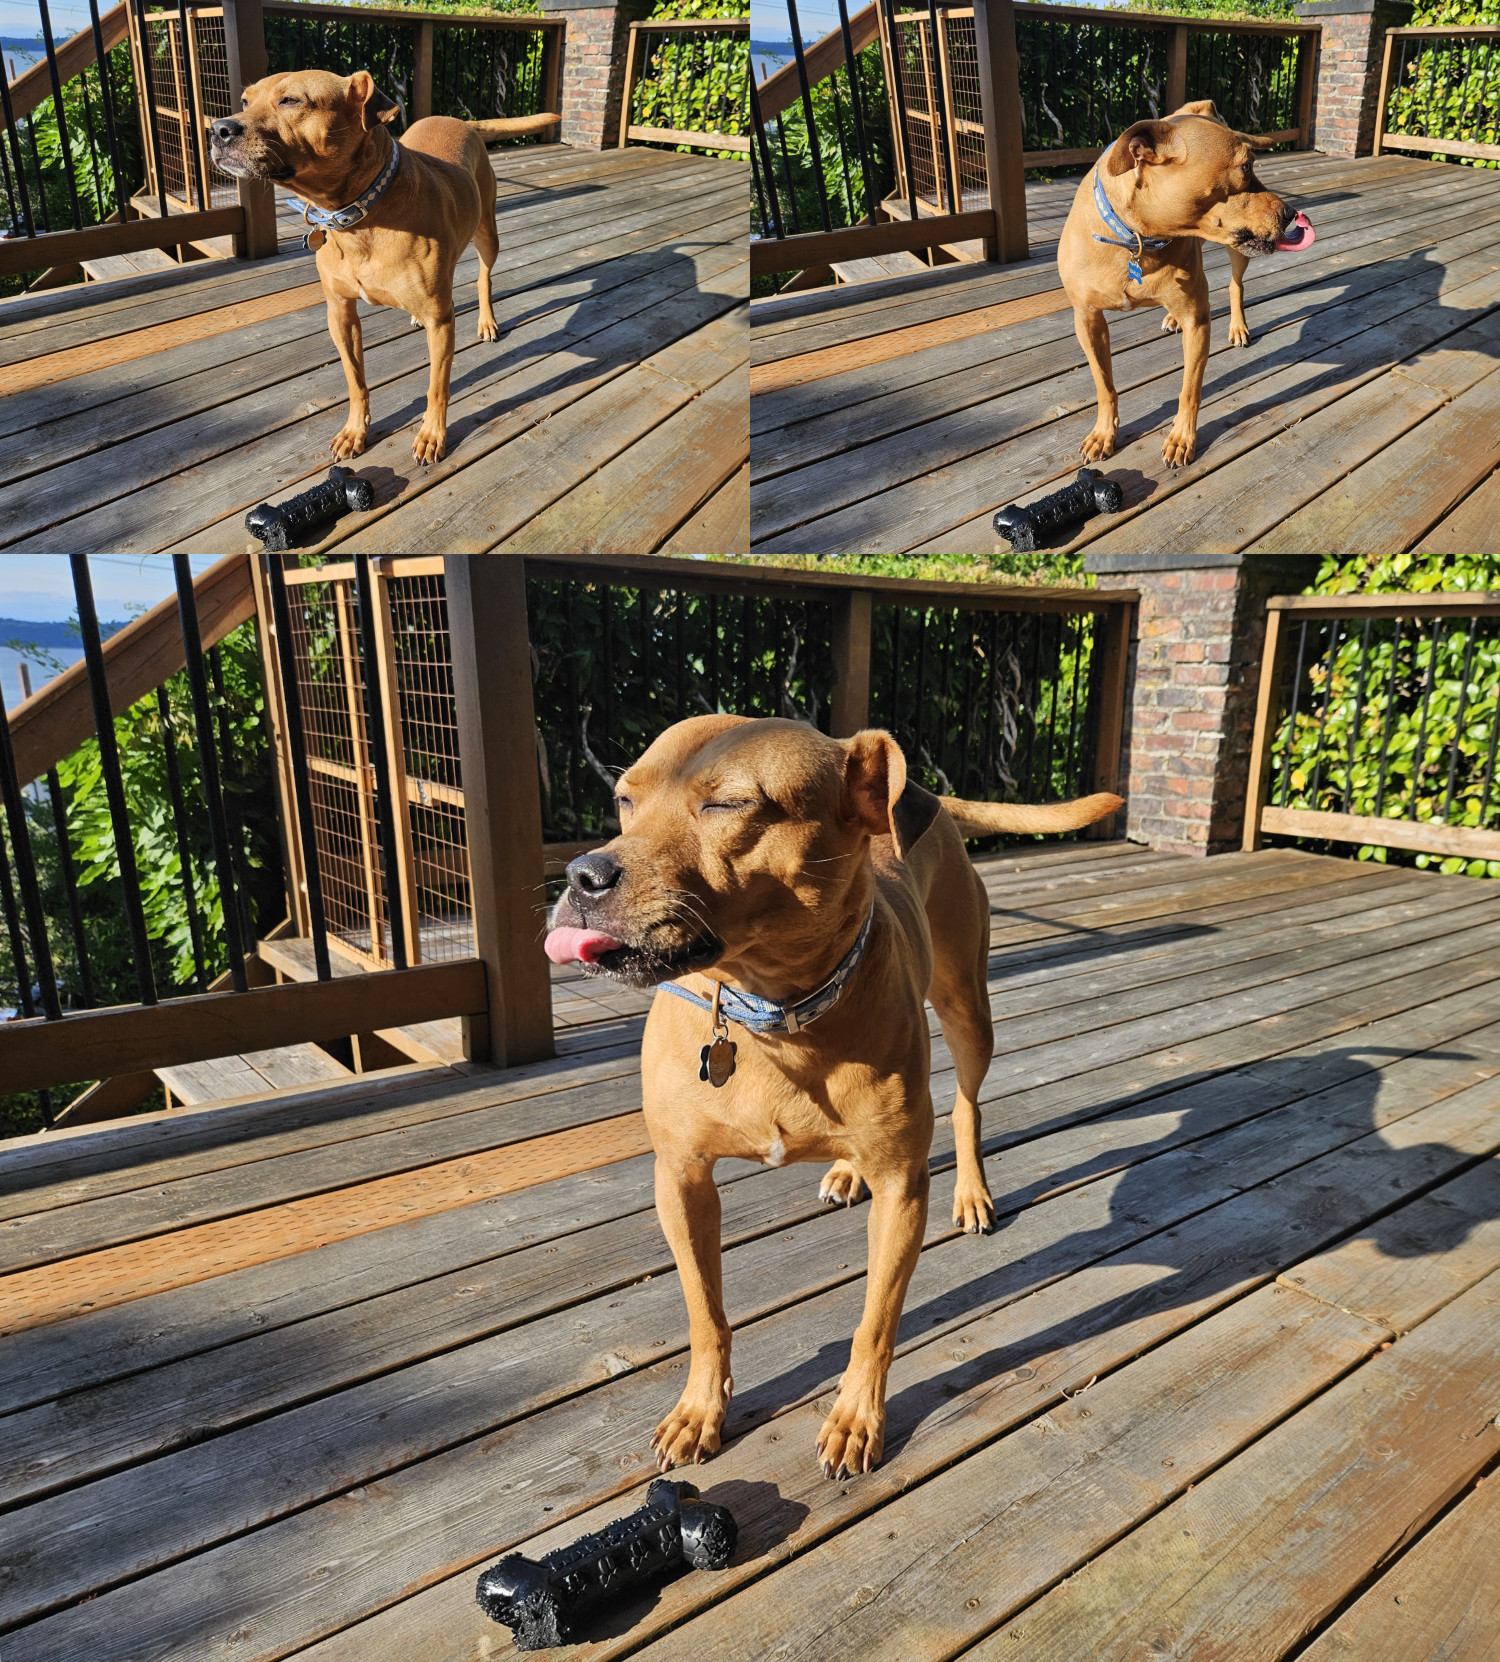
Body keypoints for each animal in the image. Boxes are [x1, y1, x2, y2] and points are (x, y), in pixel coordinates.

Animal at [210, 69, 558, 462]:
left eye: (291, 101)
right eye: (244, 101)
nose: (218, 129)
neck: (359, 218)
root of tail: (458, 120)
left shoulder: (441, 322)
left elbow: (437, 386)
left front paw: (432, 434)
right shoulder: (340, 315)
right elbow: (355, 381)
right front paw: (354, 430)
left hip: (487, 233)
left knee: (484, 277)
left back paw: (486, 320)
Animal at [544, 721, 1122, 1475]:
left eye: (728, 805)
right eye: (623, 800)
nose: (582, 875)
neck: (772, 1012)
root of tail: (928, 800)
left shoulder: (903, 1192)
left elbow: (875, 1322)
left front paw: (856, 1417)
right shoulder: (681, 1179)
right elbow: (705, 1313)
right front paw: (700, 1408)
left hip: (968, 1009)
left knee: (968, 1104)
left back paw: (972, 1190)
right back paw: (847, 1170)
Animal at [1056, 101, 1302, 472]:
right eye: (1245, 167)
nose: (1290, 212)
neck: (1138, 239)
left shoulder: (1197, 322)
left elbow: (1190, 390)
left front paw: (1182, 439)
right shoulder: (1087, 319)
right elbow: (1104, 384)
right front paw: (1103, 433)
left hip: (1237, 254)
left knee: (1235, 286)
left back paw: (1238, 326)